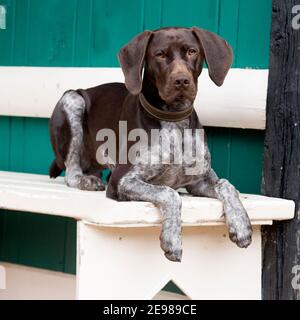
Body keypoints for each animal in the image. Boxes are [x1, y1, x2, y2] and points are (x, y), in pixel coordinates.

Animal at [49, 27, 253, 262]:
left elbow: (227, 185)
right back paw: (85, 181)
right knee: (71, 172)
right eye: (160, 54)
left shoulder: (198, 180)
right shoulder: (122, 180)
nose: (181, 81)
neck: (174, 120)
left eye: (192, 51)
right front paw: (172, 239)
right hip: (73, 99)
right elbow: (169, 193)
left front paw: (241, 224)